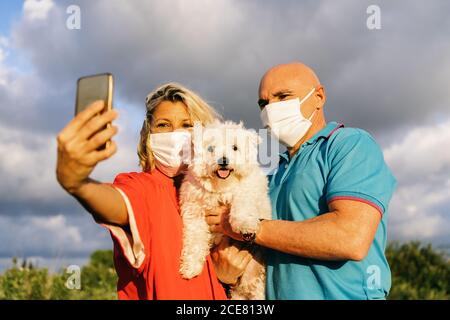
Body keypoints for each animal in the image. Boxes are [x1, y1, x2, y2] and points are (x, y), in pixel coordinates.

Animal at [178, 120, 270, 300]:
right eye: (211, 148)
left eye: (235, 147)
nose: (223, 161)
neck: (221, 187)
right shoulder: (194, 209)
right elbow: (195, 237)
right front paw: (191, 266)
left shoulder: (248, 188)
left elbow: (243, 201)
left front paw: (244, 224)